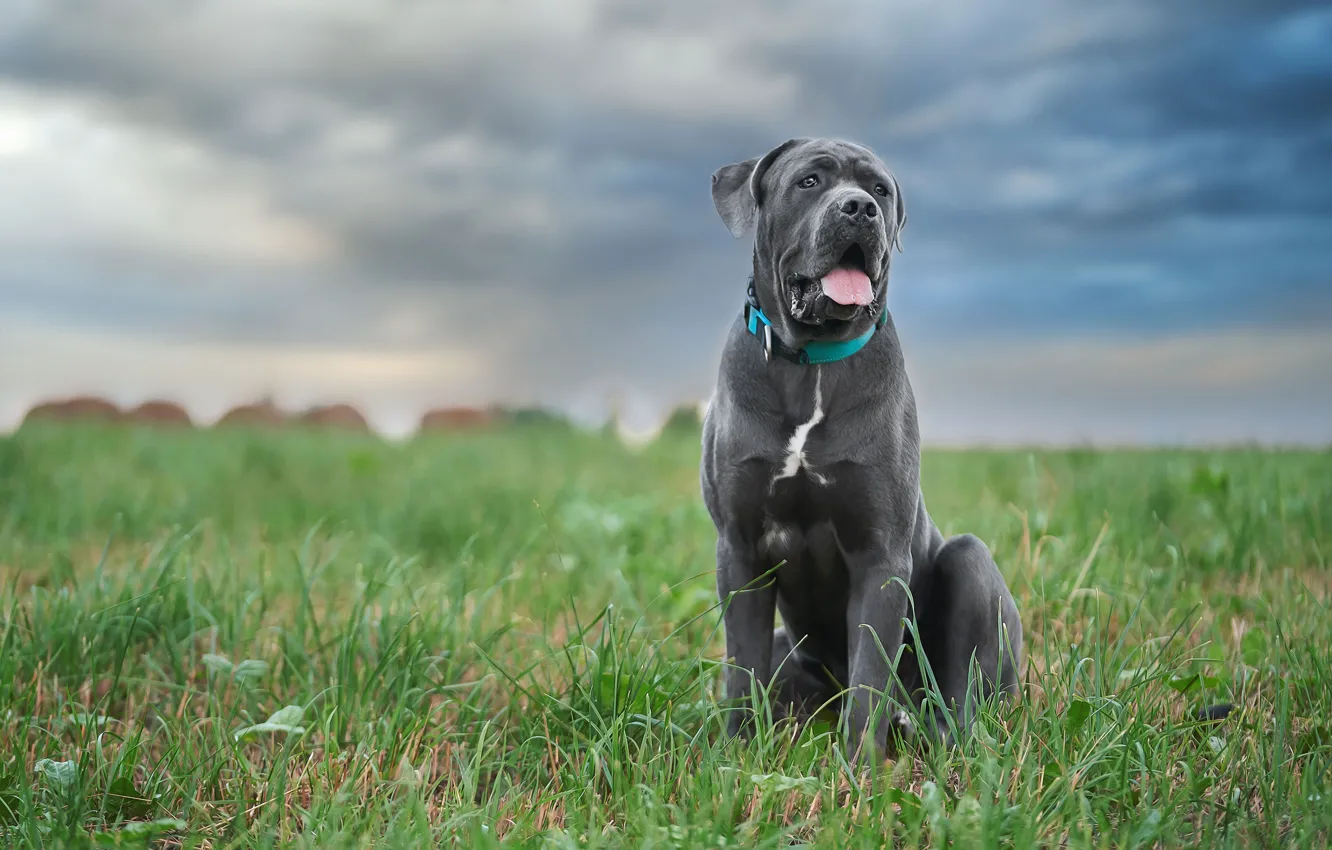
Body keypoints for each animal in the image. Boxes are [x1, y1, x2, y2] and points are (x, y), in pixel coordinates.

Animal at [703, 136, 1022, 762]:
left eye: (879, 189)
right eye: (809, 181)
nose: (860, 210)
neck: (811, 362)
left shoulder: (880, 555)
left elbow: (870, 673)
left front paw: (858, 770)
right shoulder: (740, 548)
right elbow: (741, 664)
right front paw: (735, 757)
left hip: (970, 565)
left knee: (957, 698)